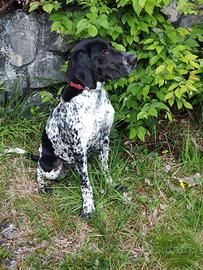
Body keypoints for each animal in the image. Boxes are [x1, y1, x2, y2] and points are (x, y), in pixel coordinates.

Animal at [36, 37, 136, 217]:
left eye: (111, 46)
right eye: (103, 51)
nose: (134, 58)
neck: (93, 97)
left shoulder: (104, 139)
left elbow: (105, 168)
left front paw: (111, 185)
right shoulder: (78, 149)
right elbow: (86, 184)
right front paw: (88, 206)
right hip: (51, 166)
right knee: (38, 171)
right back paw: (41, 187)